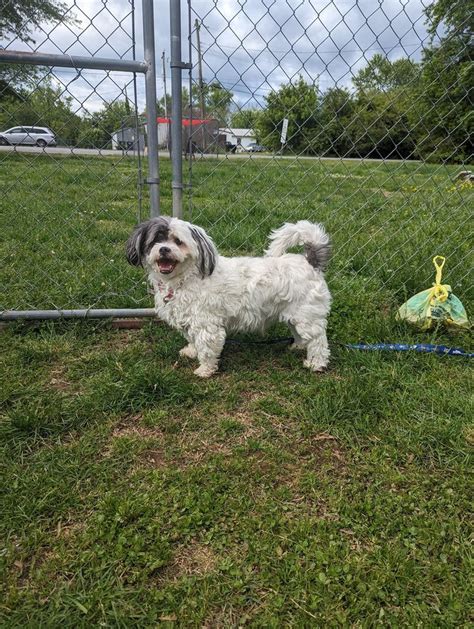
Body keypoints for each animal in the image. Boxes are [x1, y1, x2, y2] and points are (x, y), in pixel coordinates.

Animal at [128, 218, 332, 378]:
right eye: (155, 240)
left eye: (178, 242)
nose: (163, 249)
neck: (184, 279)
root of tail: (310, 262)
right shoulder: (189, 320)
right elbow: (193, 340)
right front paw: (191, 352)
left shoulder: (206, 324)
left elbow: (207, 348)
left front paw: (205, 370)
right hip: (295, 314)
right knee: (300, 334)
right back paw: (298, 347)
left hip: (306, 316)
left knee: (318, 341)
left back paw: (316, 364)